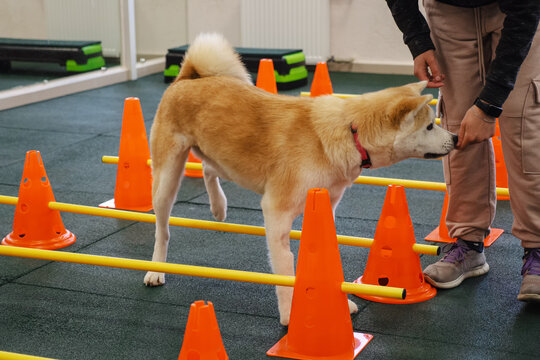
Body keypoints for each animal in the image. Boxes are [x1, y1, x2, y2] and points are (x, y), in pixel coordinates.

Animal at [143, 33, 456, 326]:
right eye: (430, 126)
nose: (455, 138)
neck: (350, 131)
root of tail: (188, 77)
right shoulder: (276, 212)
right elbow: (285, 273)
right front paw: (289, 314)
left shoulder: (324, 207)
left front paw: (339, 305)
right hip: (167, 178)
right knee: (163, 231)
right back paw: (156, 269)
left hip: (223, 158)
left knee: (209, 170)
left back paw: (219, 207)